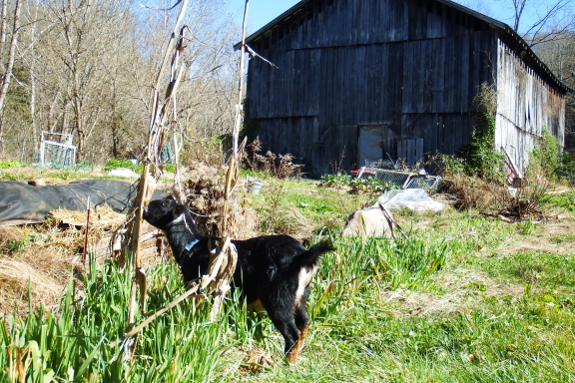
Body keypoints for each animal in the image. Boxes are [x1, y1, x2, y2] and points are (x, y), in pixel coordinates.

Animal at [141, 198, 336, 364]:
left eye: (163, 204)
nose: (143, 208)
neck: (192, 247)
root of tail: (302, 256)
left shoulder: (198, 287)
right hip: (300, 295)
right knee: (305, 322)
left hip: (278, 297)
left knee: (291, 332)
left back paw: (286, 363)